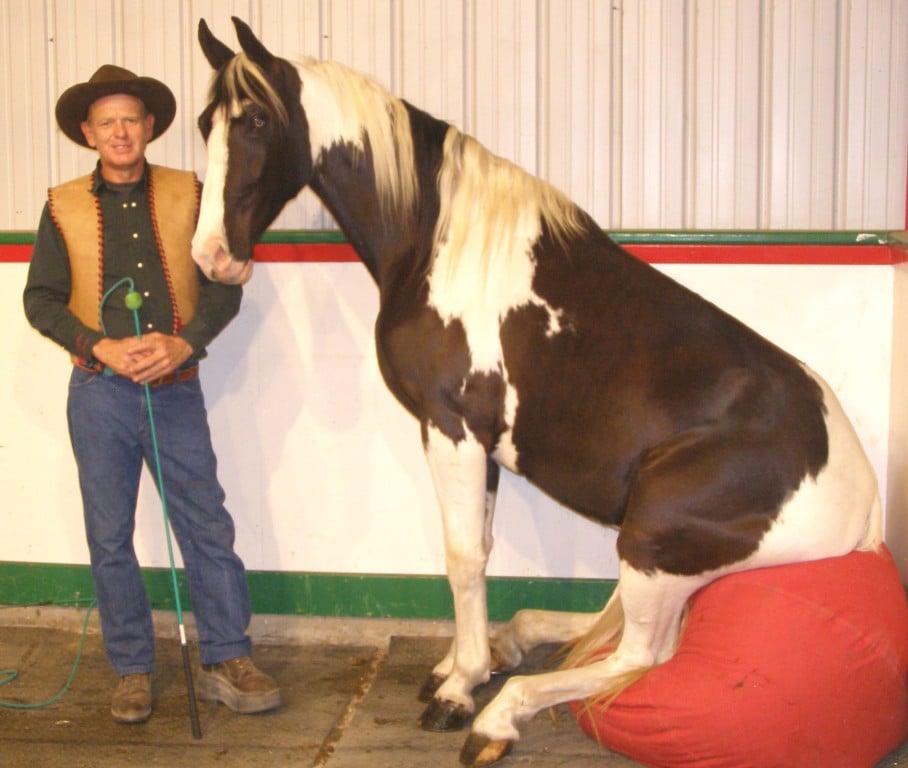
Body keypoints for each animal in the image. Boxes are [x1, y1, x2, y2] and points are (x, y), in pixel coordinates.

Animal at [191, 17, 882, 767]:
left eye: (258, 119)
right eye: (205, 123)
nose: (210, 257)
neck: (439, 244)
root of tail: (863, 502)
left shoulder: (453, 429)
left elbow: (463, 557)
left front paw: (460, 688)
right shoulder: (476, 443)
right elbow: (482, 547)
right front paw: (465, 662)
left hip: (652, 532)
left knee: (639, 656)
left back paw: (503, 713)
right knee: (605, 626)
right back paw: (514, 643)